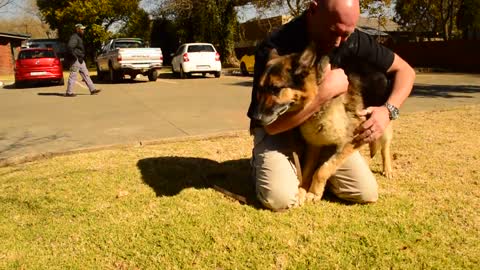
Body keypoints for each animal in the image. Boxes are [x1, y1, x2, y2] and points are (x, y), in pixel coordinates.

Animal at [251, 44, 394, 205]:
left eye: (275, 89)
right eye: (259, 89)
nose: (254, 118)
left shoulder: (351, 141)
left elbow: (322, 170)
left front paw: (314, 193)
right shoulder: (314, 144)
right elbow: (307, 171)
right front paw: (302, 190)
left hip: (383, 124)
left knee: (385, 147)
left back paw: (387, 168)